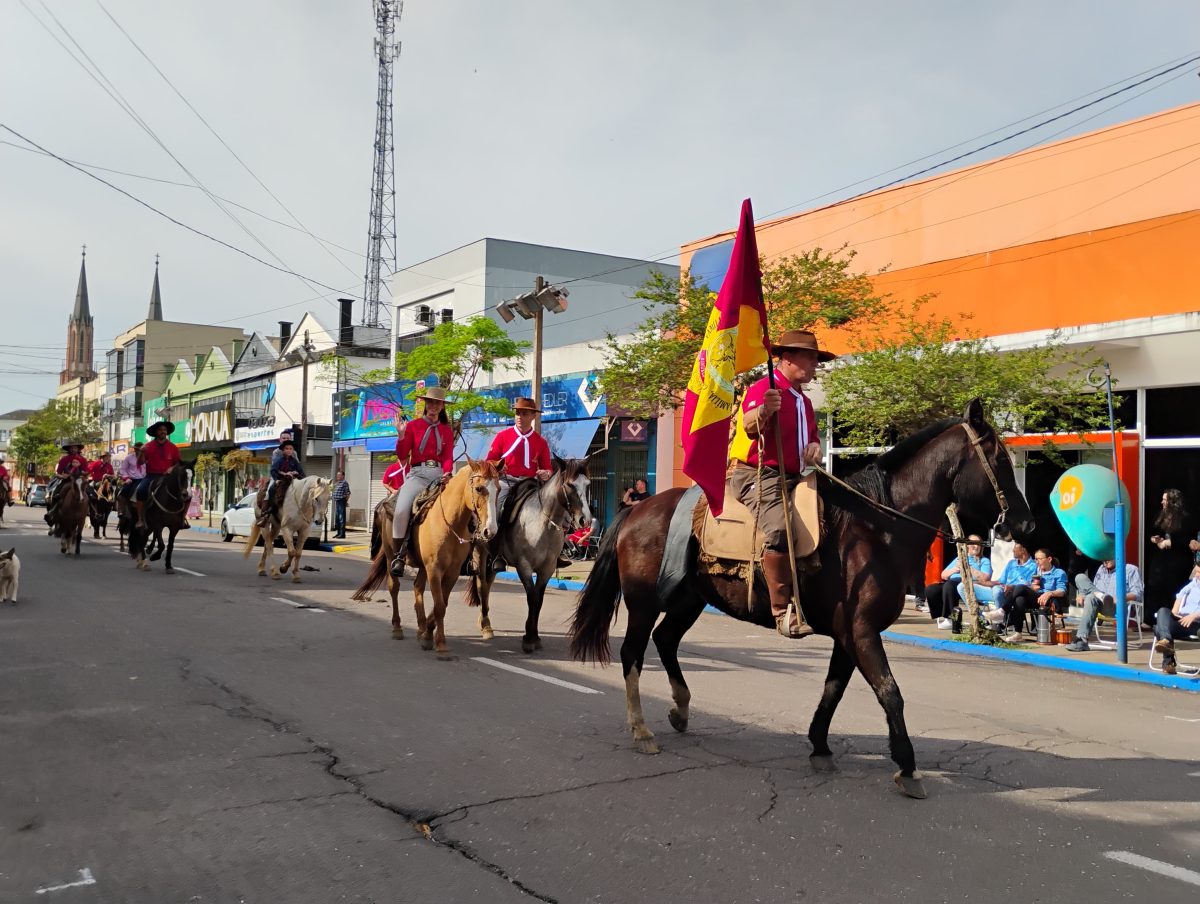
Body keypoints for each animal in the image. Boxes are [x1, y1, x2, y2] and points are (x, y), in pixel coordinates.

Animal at [350, 461, 501, 653]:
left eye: (498, 489)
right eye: (479, 488)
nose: (491, 530)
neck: (451, 523)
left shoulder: (452, 571)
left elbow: (442, 603)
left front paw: (428, 633)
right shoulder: (434, 569)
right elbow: (439, 606)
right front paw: (440, 644)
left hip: (422, 566)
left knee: (417, 587)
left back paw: (421, 628)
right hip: (392, 555)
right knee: (394, 587)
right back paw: (397, 628)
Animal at [460, 461, 592, 653]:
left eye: (587, 484)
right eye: (569, 484)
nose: (585, 520)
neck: (542, 524)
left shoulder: (547, 569)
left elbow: (539, 600)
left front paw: (535, 636)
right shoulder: (524, 567)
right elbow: (532, 598)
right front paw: (529, 638)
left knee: (488, 584)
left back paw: (484, 621)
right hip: (481, 553)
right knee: (482, 587)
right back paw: (486, 627)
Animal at [566, 400, 1036, 797]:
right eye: (998, 458)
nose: (1026, 524)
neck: (876, 527)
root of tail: (637, 510)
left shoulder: (849, 634)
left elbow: (834, 689)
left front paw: (820, 746)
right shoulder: (861, 632)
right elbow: (889, 692)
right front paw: (907, 767)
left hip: (689, 600)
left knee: (665, 641)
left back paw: (680, 710)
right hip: (644, 603)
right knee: (632, 653)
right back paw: (641, 729)